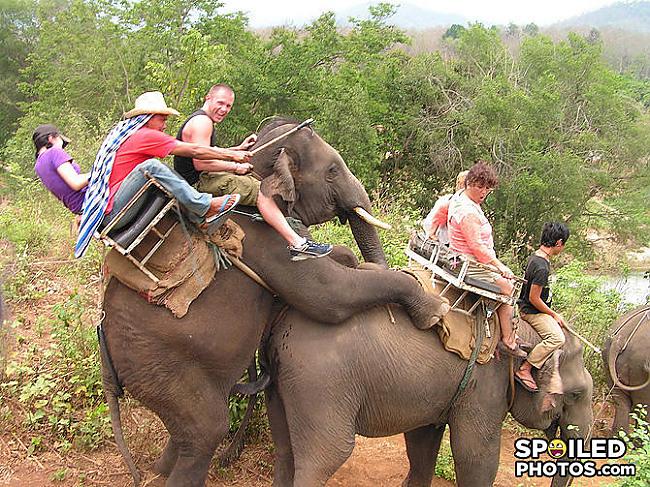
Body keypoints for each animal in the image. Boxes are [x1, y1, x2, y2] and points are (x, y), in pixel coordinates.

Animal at [101, 119, 448, 487]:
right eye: (331, 171)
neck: (261, 161)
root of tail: (109, 363)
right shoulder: (267, 239)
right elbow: (328, 295)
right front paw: (434, 312)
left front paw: (350, 259)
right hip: (159, 363)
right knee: (205, 431)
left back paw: (160, 471)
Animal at [264, 278, 592, 487]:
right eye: (576, 394)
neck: (521, 330)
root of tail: (281, 323)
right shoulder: (485, 389)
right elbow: (475, 456)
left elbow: (422, 442)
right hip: (323, 385)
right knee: (327, 455)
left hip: (286, 383)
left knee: (285, 450)